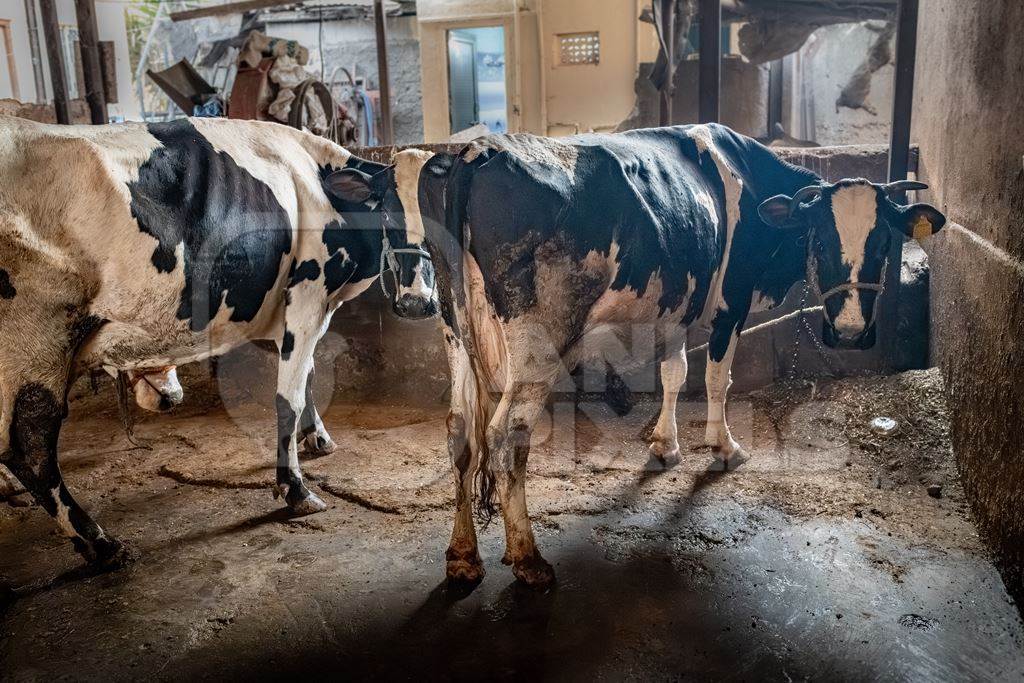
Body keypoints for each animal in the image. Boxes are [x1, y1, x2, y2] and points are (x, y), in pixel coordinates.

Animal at [0, 116, 436, 565]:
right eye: (389, 212)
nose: (417, 302)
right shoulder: (307, 296)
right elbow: (289, 398)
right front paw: (295, 488)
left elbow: (310, 374)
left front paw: (317, 437)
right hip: (36, 346)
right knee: (29, 448)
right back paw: (100, 544)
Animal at [331, 124, 946, 589]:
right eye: (822, 237)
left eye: (884, 241)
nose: (850, 332)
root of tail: (476, 155)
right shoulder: (730, 302)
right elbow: (716, 378)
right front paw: (723, 447)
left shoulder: (677, 308)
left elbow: (675, 372)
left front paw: (663, 443)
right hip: (535, 340)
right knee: (506, 434)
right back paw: (528, 559)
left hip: (454, 329)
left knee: (462, 430)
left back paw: (462, 558)